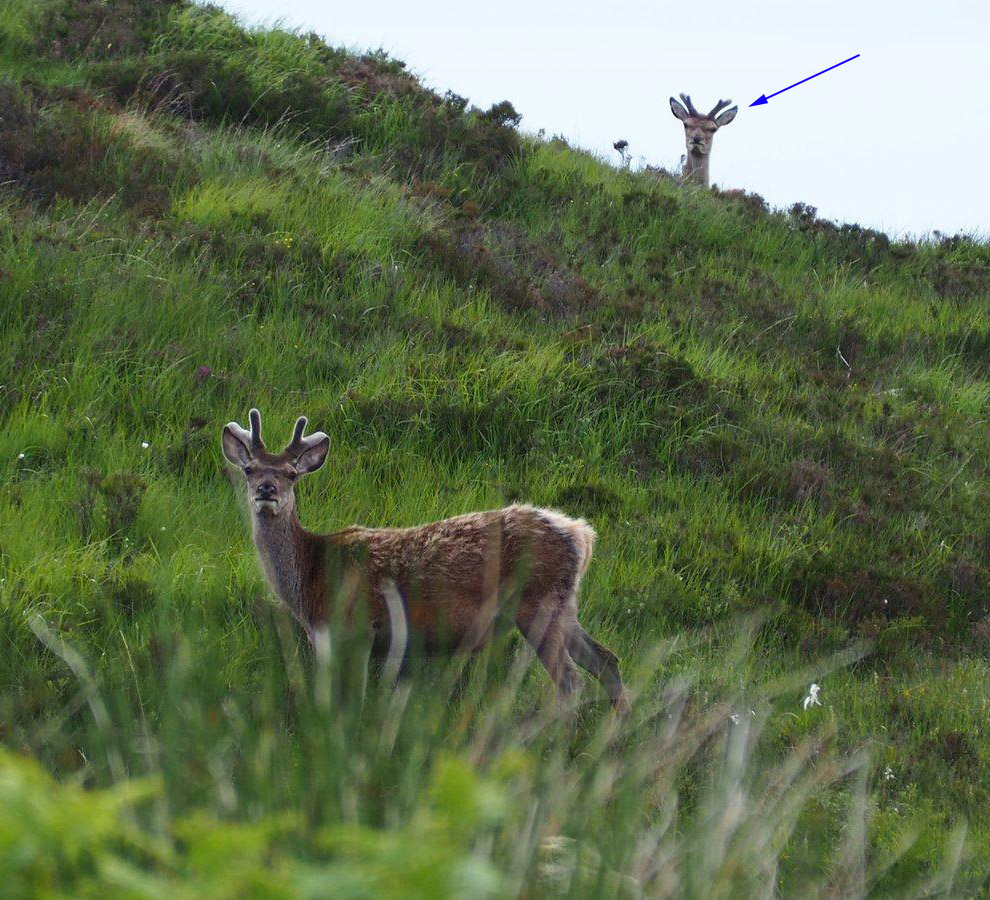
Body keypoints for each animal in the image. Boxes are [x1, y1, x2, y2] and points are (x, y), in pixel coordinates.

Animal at [222, 408, 632, 712]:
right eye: (249, 469)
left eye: (291, 474)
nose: (267, 490)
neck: (309, 577)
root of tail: (581, 534)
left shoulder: (354, 629)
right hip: (565, 606)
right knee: (607, 662)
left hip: (537, 604)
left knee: (571, 681)